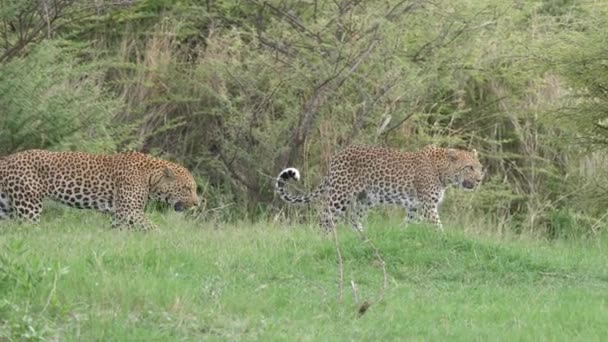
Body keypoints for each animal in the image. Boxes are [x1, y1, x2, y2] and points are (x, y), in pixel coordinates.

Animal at [0, 149, 200, 230]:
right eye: (186, 188)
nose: (197, 204)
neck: (151, 178)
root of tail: (7, 159)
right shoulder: (130, 210)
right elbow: (153, 227)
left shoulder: (120, 215)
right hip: (29, 206)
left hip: (6, 206)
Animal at [276, 144, 484, 232]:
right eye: (469, 167)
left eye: (479, 167)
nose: (480, 179)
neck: (443, 172)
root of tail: (336, 157)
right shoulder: (427, 205)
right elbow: (437, 226)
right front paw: (443, 238)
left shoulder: (414, 206)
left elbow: (409, 223)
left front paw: (403, 236)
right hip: (340, 195)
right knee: (325, 217)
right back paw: (325, 238)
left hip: (365, 199)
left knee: (354, 219)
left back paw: (363, 237)